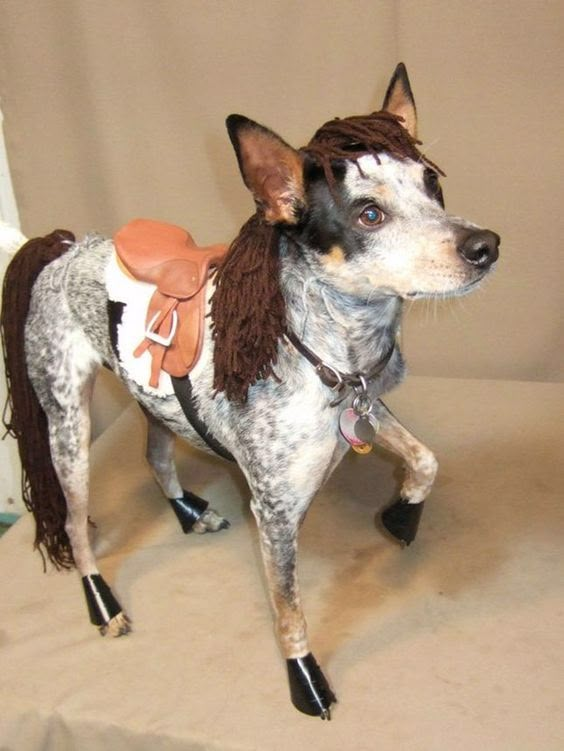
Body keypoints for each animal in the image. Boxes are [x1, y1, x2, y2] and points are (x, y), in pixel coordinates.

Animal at [2, 66, 500, 724]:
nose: (486, 245)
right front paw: (304, 679)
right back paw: (102, 603)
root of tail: (62, 245)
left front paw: (401, 514)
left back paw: (188, 511)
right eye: (369, 214)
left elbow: (425, 459)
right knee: (76, 524)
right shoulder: (276, 512)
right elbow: (289, 610)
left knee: (155, 455)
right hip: (67, 425)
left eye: (432, 183)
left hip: (151, 402)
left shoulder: (366, 408)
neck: (332, 353)